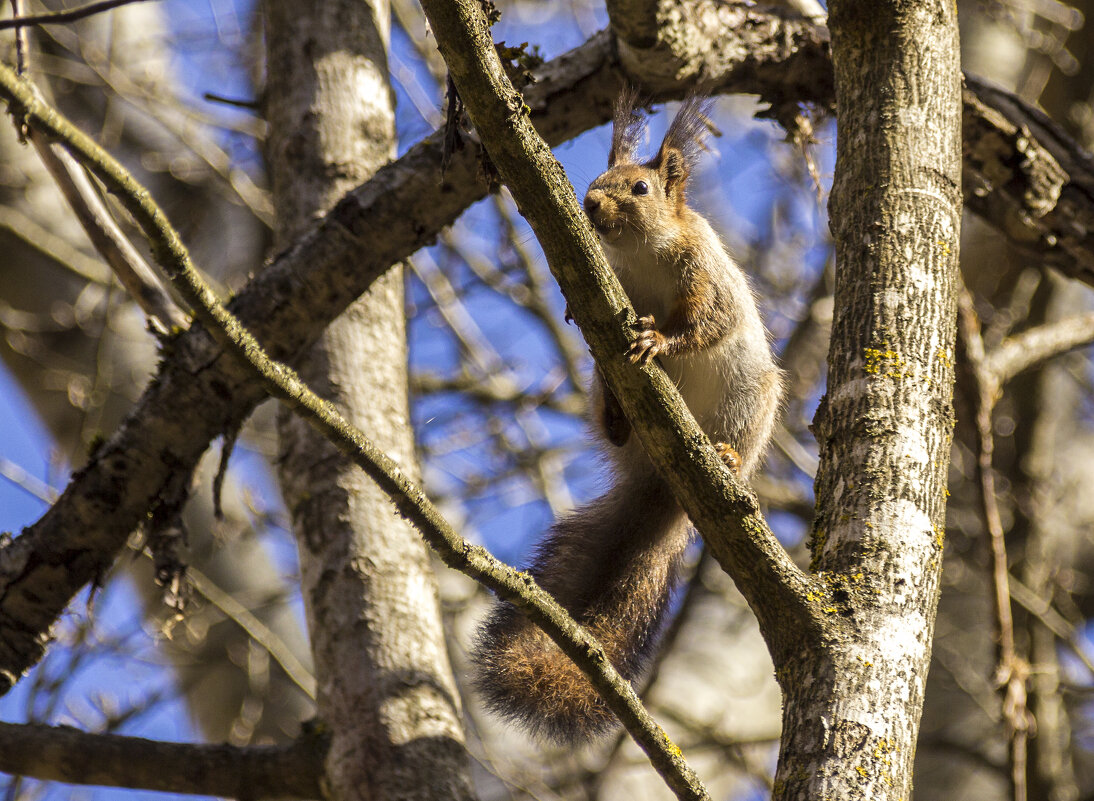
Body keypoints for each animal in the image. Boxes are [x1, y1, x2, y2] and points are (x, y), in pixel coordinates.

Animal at [472, 90, 787, 739]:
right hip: (602, 385)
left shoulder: (705, 273)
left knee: (735, 439)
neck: (641, 255)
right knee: (611, 418)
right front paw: (575, 310)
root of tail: (661, 483)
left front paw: (658, 342)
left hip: (750, 401)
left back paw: (725, 455)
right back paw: (618, 420)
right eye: (597, 177)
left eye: (640, 188)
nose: (590, 203)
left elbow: (706, 322)